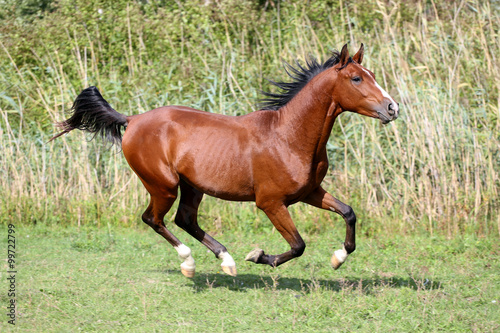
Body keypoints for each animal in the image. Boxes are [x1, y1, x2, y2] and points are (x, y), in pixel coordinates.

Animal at [51, 44, 398, 278]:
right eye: (356, 78)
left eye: (370, 75)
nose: (392, 108)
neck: (288, 136)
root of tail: (132, 119)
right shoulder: (270, 202)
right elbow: (298, 245)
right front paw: (258, 256)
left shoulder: (309, 192)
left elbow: (349, 213)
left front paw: (338, 257)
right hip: (164, 185)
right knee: (154, 219)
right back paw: (190, 263)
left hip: (192, 186)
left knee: (185, 220)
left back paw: (226, 262)